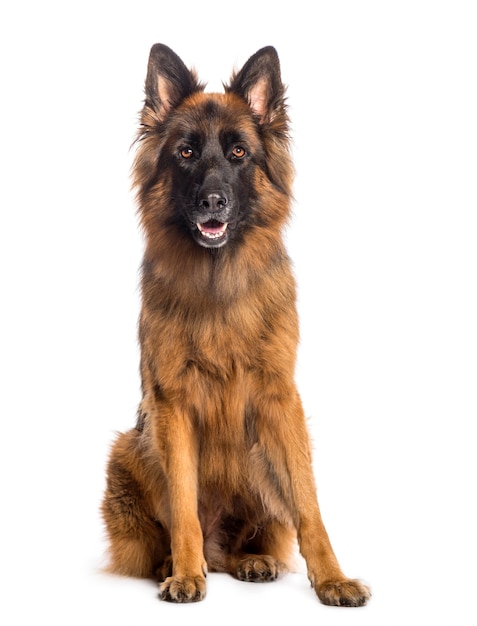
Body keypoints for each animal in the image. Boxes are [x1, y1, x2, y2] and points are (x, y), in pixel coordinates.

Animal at [100, 44, 370, 604]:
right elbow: (183, 504)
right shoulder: (172, 405)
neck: (216, 287)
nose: (212, 201)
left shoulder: (280, 399)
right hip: (127, 450)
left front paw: (332, 579)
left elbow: (309, 506)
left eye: (239, 153)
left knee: (245, 540)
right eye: (185, 153)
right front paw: (185, 572)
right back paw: (177, 563)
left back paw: (251, 560)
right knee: (179, 538)